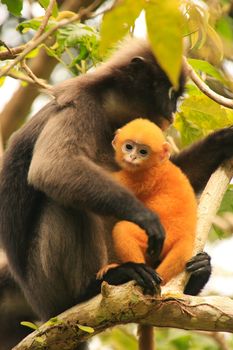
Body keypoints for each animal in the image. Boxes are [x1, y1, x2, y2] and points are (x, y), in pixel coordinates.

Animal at [97, 118, 198, 288]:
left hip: (160, 239)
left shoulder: (143, 177)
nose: (132, 157)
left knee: (123, 229)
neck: (158, 164)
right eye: (129, 147)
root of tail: (186, 236)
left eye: (143, 152)